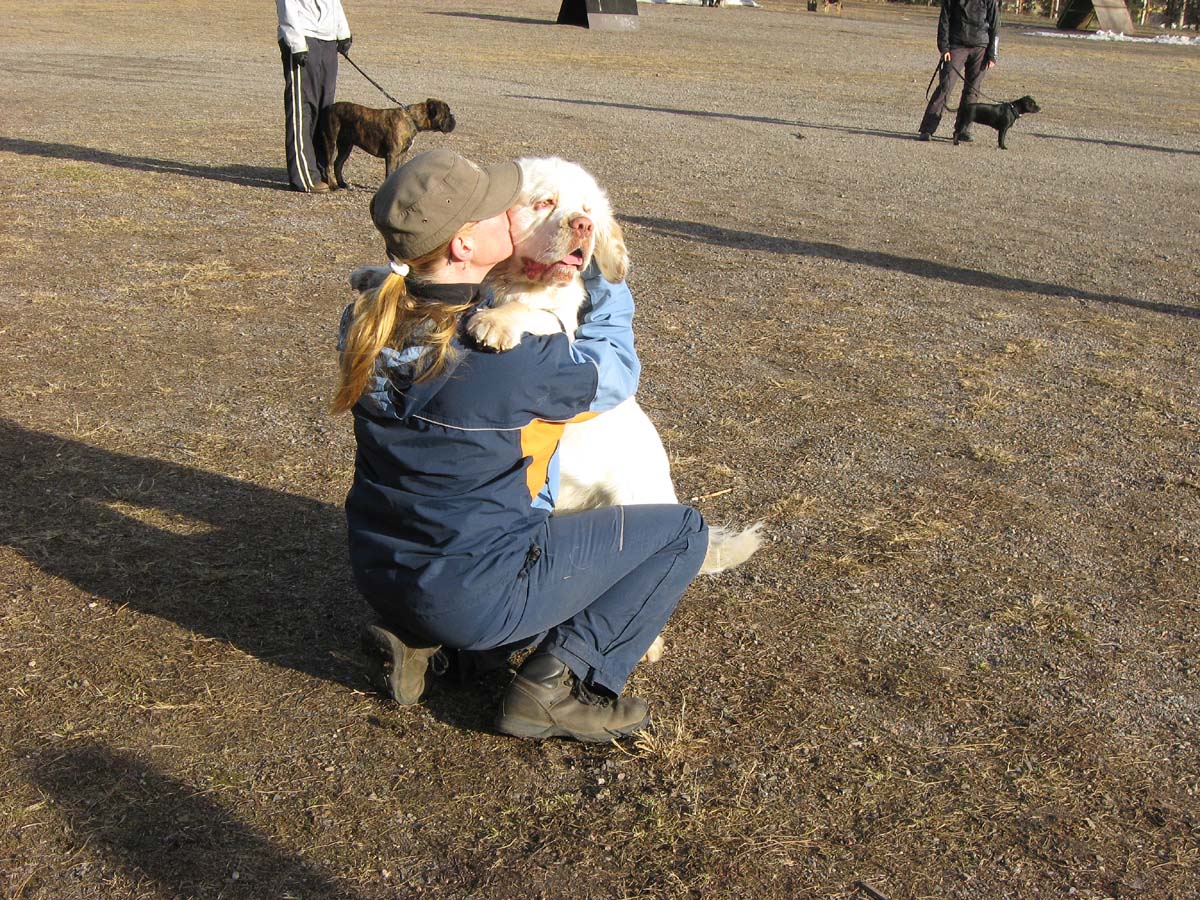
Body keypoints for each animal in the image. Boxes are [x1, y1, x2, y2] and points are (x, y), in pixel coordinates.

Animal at [320, 99, 456, 189]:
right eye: (446, 113)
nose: (454, 117)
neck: (411, 119)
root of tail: (329, 108)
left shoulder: (401, 155)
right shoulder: (392, 155)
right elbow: (389, 173)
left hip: (346, 146)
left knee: (338, 164)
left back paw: (342, 184)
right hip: (331, 142)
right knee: (328, 165)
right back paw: (333, 185)